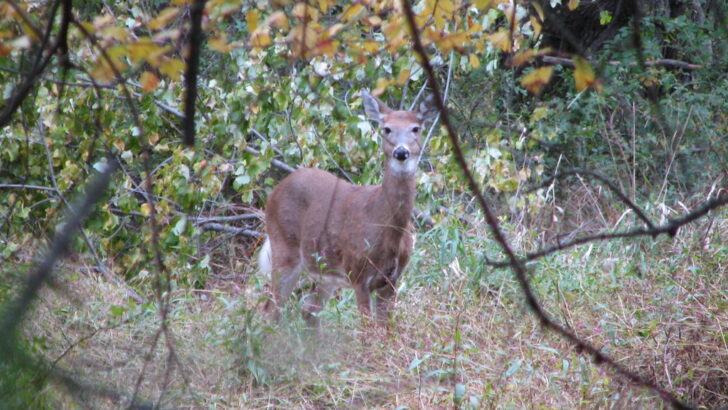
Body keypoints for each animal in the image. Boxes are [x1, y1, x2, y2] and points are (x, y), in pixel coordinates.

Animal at [258, 90, 438, 327]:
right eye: (386, 128)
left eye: (416, 128)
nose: (401, 152)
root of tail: (275, 191)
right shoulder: (358, 275)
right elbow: (368, 330)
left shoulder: (391, 281)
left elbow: (387, 329)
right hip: (284, 246)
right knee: (271, 310)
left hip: (324, 271)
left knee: (308, 310)